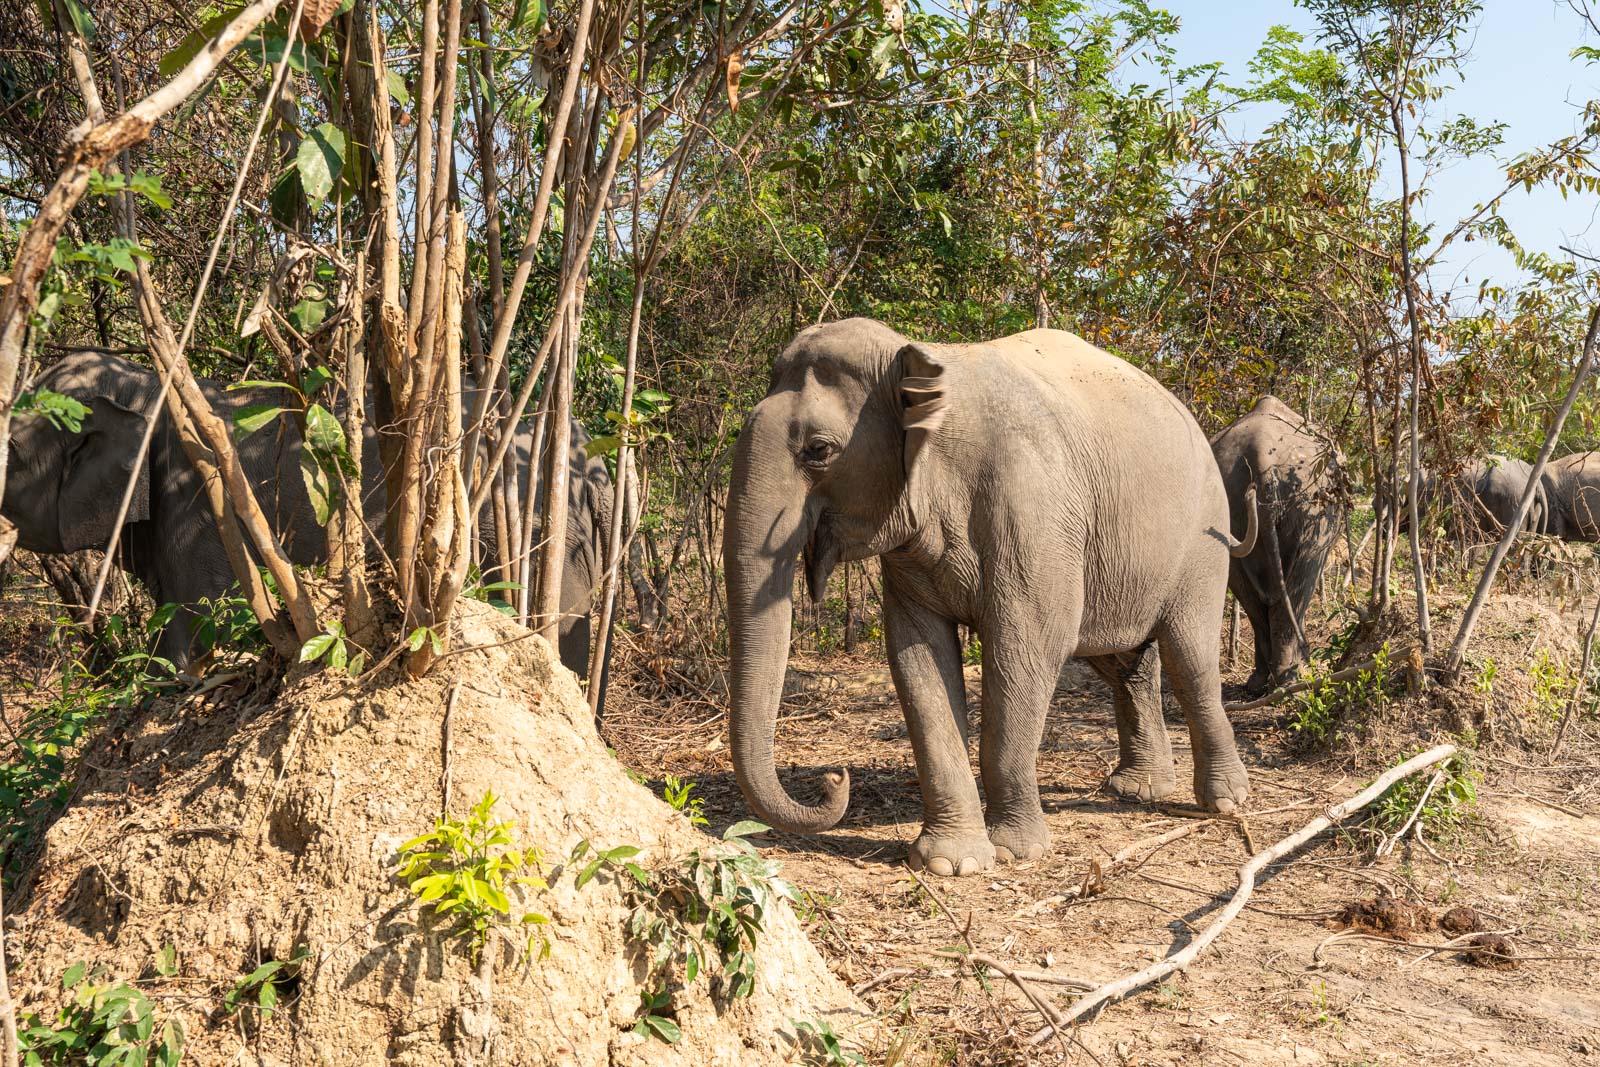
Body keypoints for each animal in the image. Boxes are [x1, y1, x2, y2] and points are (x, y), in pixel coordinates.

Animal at [4, 350, 617, 684]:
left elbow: (187, 642)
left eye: (8, 450)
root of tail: (599, 469)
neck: (146, 383)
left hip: (535, 535)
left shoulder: (199, 509)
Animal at [726, 316, 1260, 876]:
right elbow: (917, 656)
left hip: (1202, 542)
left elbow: (1028, 646)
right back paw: (1137, 790)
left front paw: (1015, 852)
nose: (835, 777)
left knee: (1189, 656)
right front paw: (951, 863)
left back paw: (1225, 801)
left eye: (818, 450)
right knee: (1125, 659)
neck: (922, 366)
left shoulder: (1031, 515)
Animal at [1216, 396, 1344, 697]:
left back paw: (1259, 684)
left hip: (1234, 506)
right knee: (1302, 579)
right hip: (1310, 504)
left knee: (1248, 591)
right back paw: (1293, 680)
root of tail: (1262, 456)